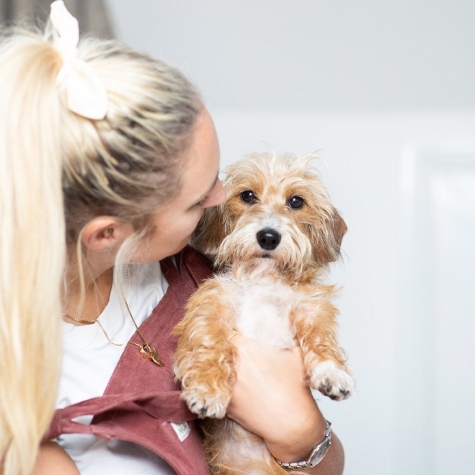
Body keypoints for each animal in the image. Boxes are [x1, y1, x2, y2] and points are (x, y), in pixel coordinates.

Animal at [173, 153, 356, 475]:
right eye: (247, 195)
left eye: (296, 201)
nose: (268, 237)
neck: (263, 280)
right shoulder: (211, 305)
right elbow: (209, 345)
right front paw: (207, 390)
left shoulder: (309, 308)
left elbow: (322, 339)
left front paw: (332, 372)